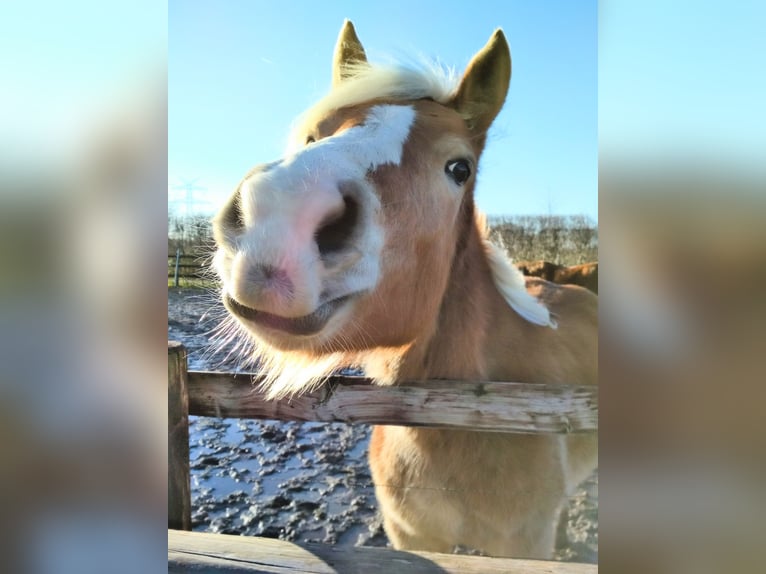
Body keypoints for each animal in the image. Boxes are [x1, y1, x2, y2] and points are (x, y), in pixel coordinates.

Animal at [211, 20, 597, 559]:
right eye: (312, 135)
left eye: (459, 168)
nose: (279, 213)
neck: (471, 415)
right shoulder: (412, 537)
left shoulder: (523, 546)